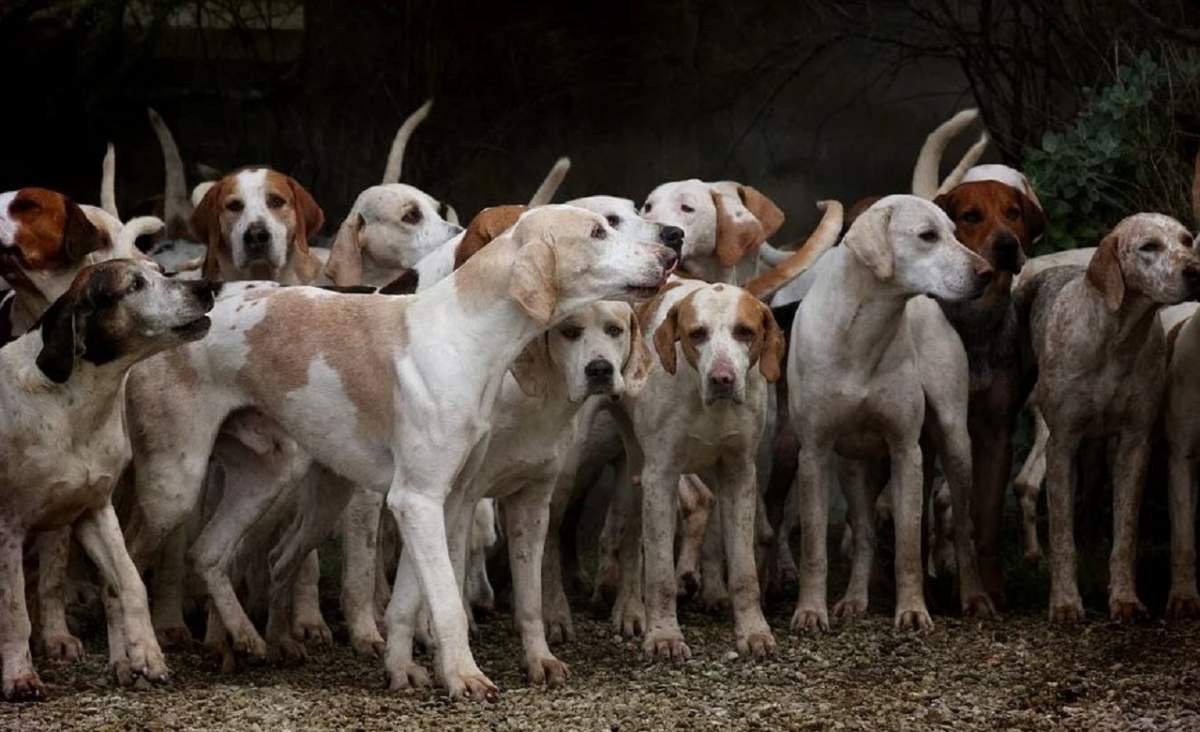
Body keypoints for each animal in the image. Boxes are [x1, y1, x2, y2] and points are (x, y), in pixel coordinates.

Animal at [0, 259, 213, 696]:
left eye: (162, 271)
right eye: (133, 285)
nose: (207, 286)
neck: (71, 404)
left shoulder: (94, 510)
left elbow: (129, 582)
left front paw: (145, 654)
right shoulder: (8, 526)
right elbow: (13, 612)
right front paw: (19, 676)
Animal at [787, 196, 993, 628]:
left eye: (955, 232)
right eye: (927, 236)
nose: (987, 272)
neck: (862, 332)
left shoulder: (906, 451)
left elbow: (909, 544)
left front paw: (913, 610)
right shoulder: (813, 453)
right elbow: (814, 546)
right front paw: (810, 611)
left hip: (955, 443)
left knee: (962, 528)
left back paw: (975, 596)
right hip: (852, 465)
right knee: (864, 531)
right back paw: (854, 600)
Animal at [1012, 212, 1200, 619]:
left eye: (1186, 241)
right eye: (1149, 246)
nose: (1196, 271)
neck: (1116, 340)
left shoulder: (1134, 445)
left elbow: (1125, 532)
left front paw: (1125, 598)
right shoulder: (1061, 446)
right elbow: (1061, 536)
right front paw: (1065, 602)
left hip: (1100, 455)